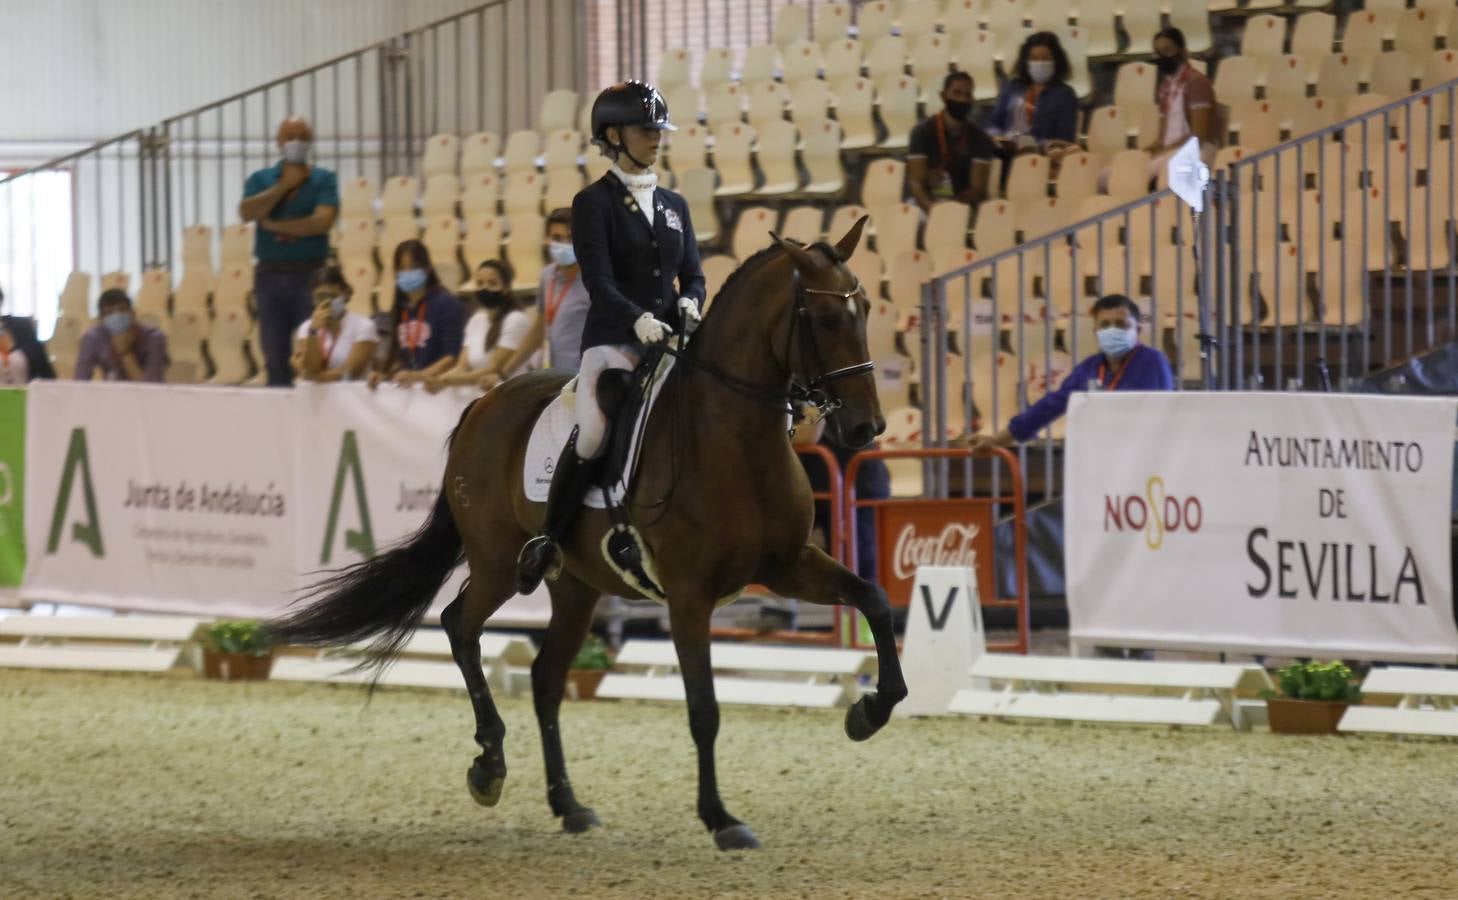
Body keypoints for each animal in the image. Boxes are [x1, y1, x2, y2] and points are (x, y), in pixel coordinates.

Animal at [262, 215, 898, 851]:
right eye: (824, 317)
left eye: (866, 307)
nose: (865, 428)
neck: (734, 438)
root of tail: (484, 403)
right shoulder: (690, 595)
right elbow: (704, 707)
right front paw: (722, 819)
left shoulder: (789, 564)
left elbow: (874, 599)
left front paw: (868, 712)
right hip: (498, 562)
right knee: (460, 626)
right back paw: (489, 766)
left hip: (576, 584)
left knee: (545, 677)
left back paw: (567, 803)